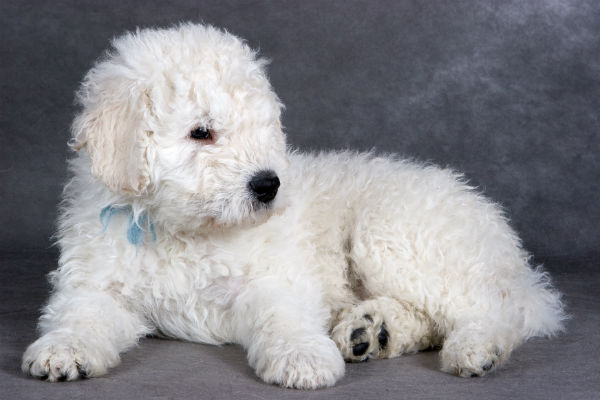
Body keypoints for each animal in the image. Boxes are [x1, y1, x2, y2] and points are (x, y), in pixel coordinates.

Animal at [21, 23, 564, 390]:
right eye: (202, 132)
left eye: (262, 128)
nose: (268, 185)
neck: (182, 230)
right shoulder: (95, 285)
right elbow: (80, 315)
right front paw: (62, 351)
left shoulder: (273, 279)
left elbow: (281, 317)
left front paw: (303, 358)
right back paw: (373, 332)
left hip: (392, 235)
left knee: (499, 309)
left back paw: (475, 347)